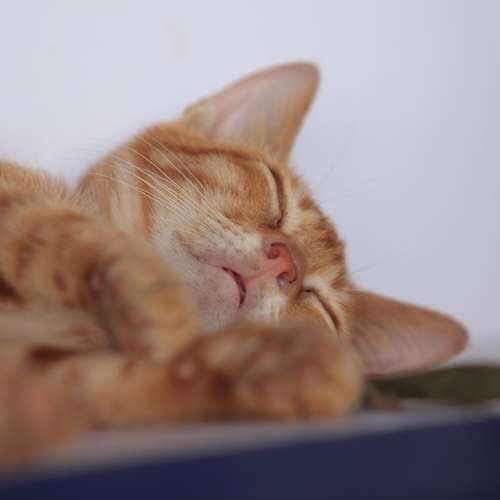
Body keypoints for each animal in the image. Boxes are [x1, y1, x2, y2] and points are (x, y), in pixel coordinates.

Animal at [0, 62, 467, 465]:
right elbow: (63, 227)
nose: (286, 263)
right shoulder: (16, 202)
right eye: (277, 194)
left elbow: (113, 384)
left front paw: (278, 369)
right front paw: (159, 300)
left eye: (320, 302)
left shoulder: (57, 380)